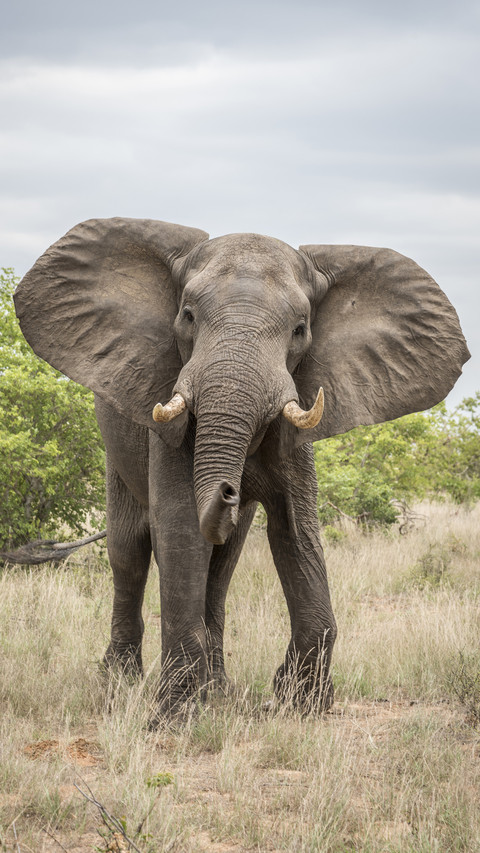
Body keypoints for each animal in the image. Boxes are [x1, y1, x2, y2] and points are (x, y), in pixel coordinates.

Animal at [14, 218, 469, 716]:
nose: (231, 491)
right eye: (187, 316)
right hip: (114, 441)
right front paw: (175, 715)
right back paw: (121, 683)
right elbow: (179, 527)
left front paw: (301, 702)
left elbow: (296, 531)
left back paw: (217, 689)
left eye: (300, 329)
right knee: (130, 550)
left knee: (222, 564)